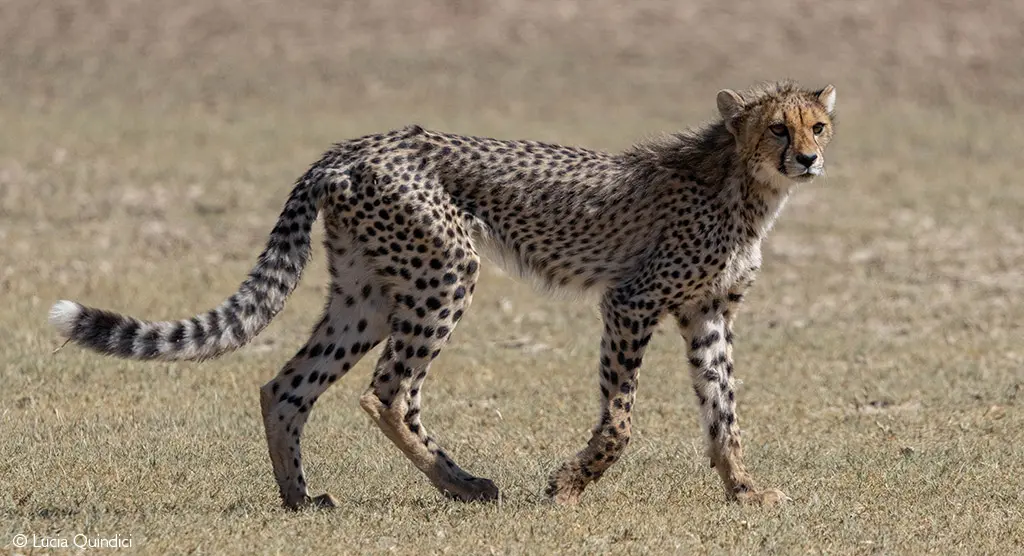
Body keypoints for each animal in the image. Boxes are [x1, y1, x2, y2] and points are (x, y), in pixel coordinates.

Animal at [49, 80, 836, 509]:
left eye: (818, 125)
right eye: (777, 127)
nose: (809, 158)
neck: (742, 183)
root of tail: (354, 145)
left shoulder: (707, 314)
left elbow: (724, 411)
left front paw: (744, 490)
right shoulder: (631, 302)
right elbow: (619, 421)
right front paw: (568, 486)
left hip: (367, 293)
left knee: (287, 386)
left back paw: (303, 498)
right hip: (448, 271)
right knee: (388, 391)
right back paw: (460, 485)